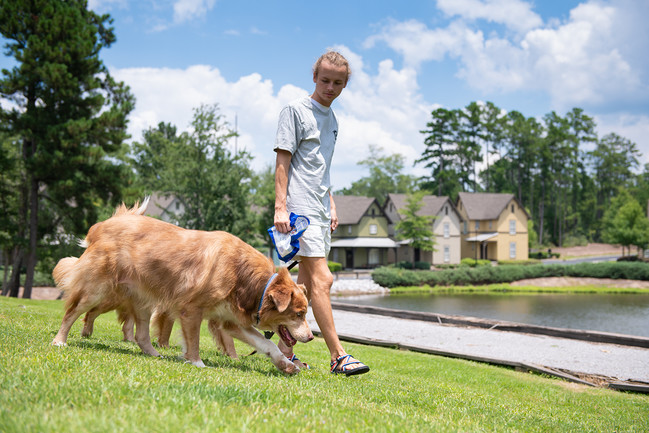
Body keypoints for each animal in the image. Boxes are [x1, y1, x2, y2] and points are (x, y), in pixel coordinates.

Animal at [52, 198, 312, 372]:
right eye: (299, 314)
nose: (310, 337)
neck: (245, 276)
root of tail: (104, 224)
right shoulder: (192, 309)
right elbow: (193, 339)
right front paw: (196, 362)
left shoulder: (230, 321)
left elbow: (266, 343)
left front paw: (285, 364)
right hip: (97, 289)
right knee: (73, 311)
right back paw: (60, 340)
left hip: (143, 299)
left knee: (141, 335)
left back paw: (155, 354)